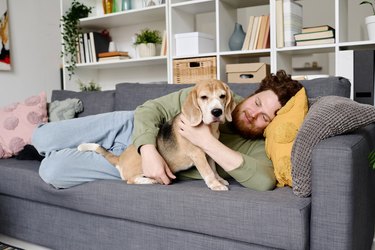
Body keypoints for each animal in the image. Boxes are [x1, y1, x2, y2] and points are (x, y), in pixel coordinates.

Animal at [79, 80, 236, 191]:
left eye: (222, 96)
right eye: (204, 97)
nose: (217, 112)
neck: (209, 128)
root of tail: (120, 158)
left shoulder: (209, 153)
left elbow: (213, 169)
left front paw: (219, 180)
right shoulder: (197, 154)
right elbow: (208, 172)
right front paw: (215, 185)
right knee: (131, 180)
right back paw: (152, 180)